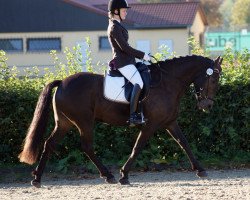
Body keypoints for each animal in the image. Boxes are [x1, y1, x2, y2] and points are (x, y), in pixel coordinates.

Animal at [19, 55, 223, 188]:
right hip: (84, 122)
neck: (168, 82)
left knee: (50, 144)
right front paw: (124, 175)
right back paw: (108, 175)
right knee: (87, 146)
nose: (207, 105)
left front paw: (200, 170)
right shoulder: (150, 125)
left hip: (64, 123)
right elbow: (137, 148)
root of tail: (62, 82)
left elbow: (184, 143)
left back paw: (37, 178)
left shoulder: (170, 123)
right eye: (213, 79)